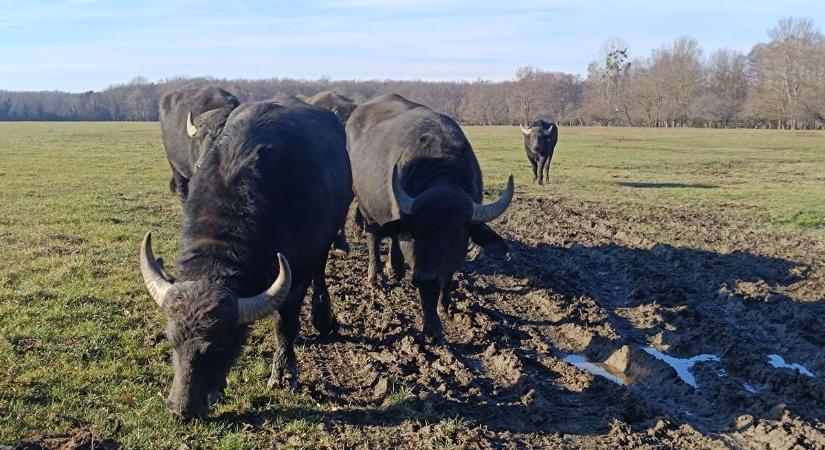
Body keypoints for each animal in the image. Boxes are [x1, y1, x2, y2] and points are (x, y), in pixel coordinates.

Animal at [138, 98, 350, 418]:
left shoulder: (298, 273)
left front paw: (284, 372)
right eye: (172, 341)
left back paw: (322, 318)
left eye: (218, 347)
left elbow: (284, 323)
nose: (181, 409)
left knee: (321, 271)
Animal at [344, 94, 512, 342]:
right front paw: (432, 326)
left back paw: (395, 267)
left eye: (456, 233)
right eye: (418, 232)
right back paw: (376, 276)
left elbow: (448, 276)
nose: (425, 277)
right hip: (364, 205)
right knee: (373, 237)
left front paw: (446, 305)